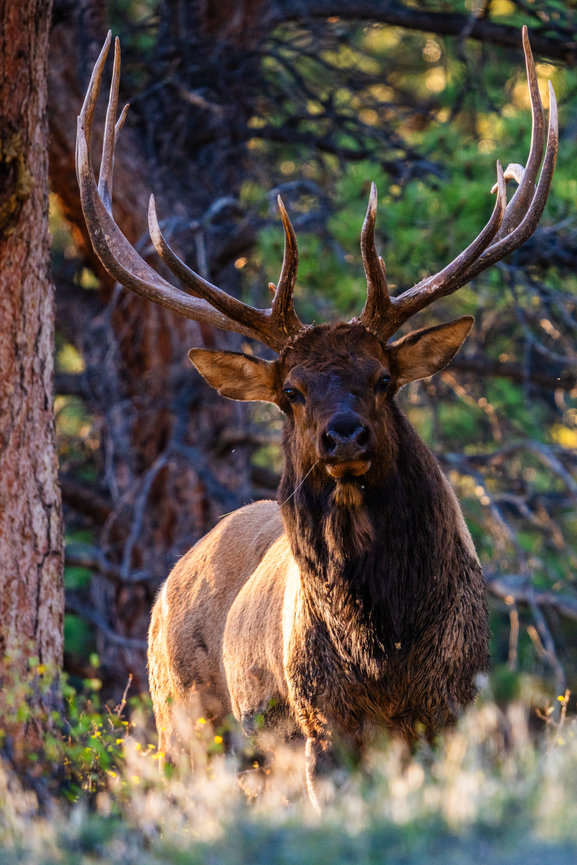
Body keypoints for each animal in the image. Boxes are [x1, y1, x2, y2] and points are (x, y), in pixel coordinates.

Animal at [76, 28, 557, 806]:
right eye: (292, 391)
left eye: (384, 379)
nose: (344, 434)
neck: (382, 651)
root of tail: (169, 579)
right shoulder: (321, 720)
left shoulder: (456, 706)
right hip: (181, 722)